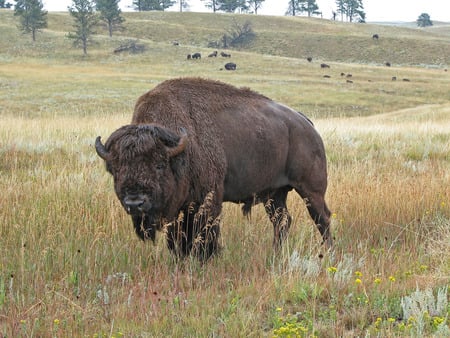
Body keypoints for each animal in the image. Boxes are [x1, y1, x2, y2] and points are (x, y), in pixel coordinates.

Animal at [95, 78, 332, 260]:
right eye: (116, 169)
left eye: (159, 164)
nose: (135, 203)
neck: (181, 149)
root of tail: (306, 124)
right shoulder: (179, 209)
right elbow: (178, 237)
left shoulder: (208, 199)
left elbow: (205, 234)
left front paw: (206, 258)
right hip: (275, 194)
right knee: (282, 221)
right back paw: (276, 253)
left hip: (311, 190)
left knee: (323, 218)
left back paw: (329, 254)